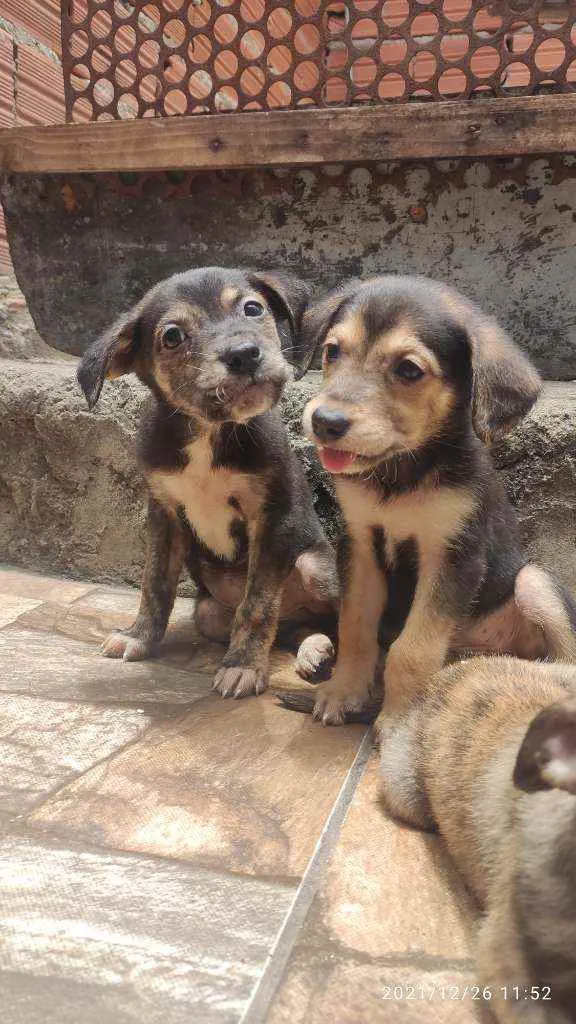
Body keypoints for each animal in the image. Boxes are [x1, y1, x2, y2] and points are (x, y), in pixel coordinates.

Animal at [76, 264, 336, 700]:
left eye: (253, 308)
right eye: (172, 336)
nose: (244, 354)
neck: (208, 428)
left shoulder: (272, 517)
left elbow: (257, 605)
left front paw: (242, 666)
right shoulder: (164, 515)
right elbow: (154, 584)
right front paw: (138, 636)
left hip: (316, 566)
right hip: (209, 613)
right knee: (293, 628)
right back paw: (311, 648)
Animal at [297, 276, 569, 729]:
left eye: (409, 369)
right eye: (332, 351)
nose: (325, 422)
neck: (402, 476)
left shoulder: (454, 557)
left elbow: (413, 650)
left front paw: (401, 719)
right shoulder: (360, 544)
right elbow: (355, 626)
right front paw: (344, 689)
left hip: (533, 582)